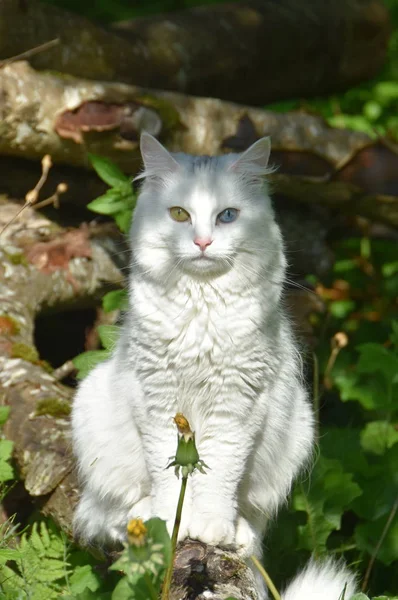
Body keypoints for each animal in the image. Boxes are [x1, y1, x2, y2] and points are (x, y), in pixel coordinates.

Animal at [72, 134, 358, 596]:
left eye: (227, 216)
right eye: (179, 214)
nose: (203, 243)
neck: (201, 304)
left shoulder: (236, 407)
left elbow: (220, 474)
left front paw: (209, 526)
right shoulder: (159, 403)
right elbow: (169, 478)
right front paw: (171, 524)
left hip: (295, 431)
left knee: (253, 523)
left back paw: (237, 533)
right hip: (93, 413)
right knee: (108, 515)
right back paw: (142, 517)